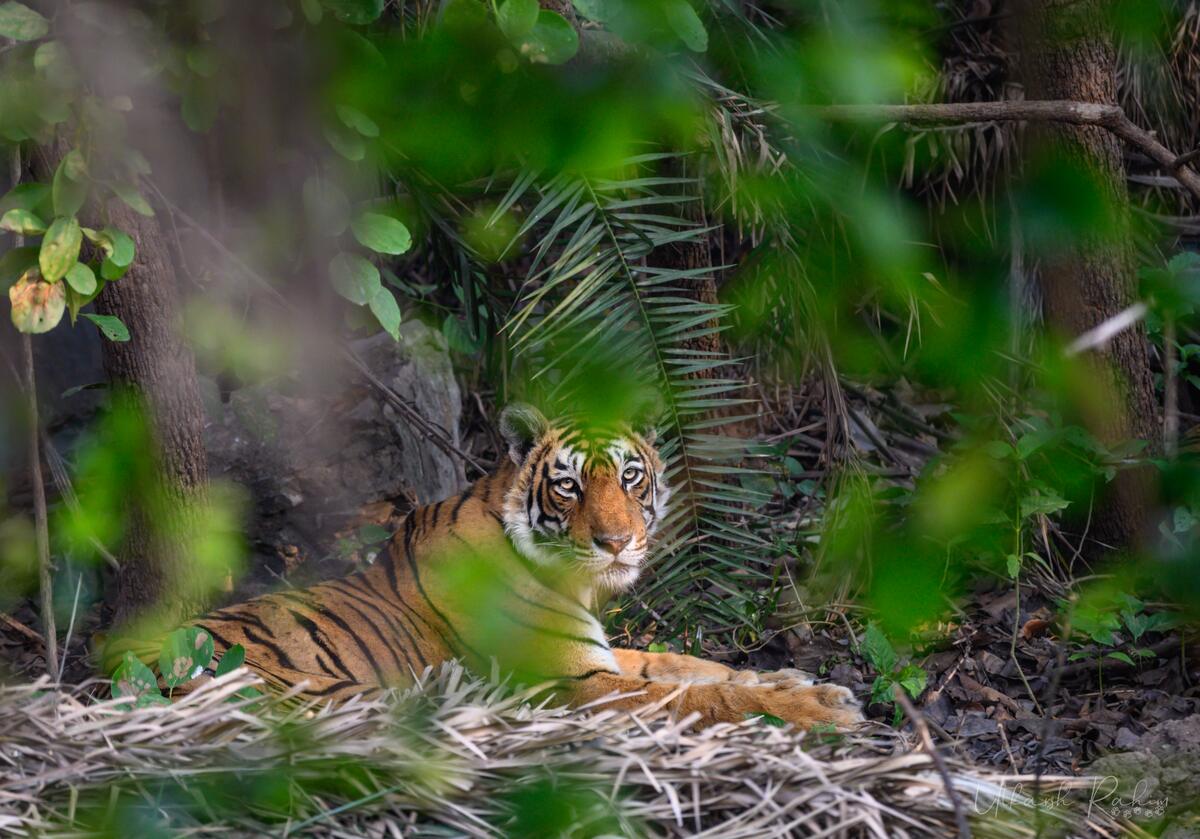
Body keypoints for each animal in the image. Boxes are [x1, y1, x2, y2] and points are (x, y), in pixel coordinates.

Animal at [133, 404, 862, 730]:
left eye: (630, 476)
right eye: (568, 485)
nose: (617, 542)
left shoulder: (597, 655)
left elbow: (685, 664)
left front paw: (792, 679)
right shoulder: (574, 682)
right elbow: (694, 693)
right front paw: (820, 708)